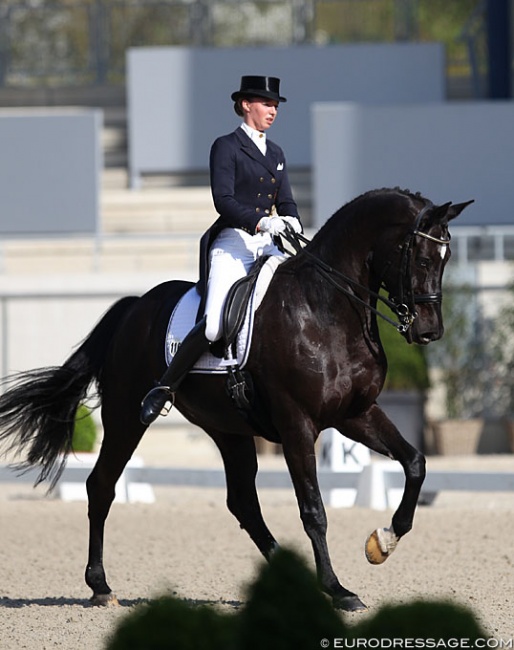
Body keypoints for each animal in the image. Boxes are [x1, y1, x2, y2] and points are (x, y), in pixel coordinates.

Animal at [0, 186, 470, 608]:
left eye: (446, 259)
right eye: (422, 258)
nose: (429, 331)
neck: (326, 309)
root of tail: (134, 307)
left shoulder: (356, 413)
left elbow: (415, 463)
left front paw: (383, 542)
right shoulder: (297, 424)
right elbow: (314, 510)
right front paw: (339, 590)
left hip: (229, 430)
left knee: (242, 502)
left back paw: (290, 579)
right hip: (125, 417)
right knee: (101, 486)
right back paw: (100, 585)